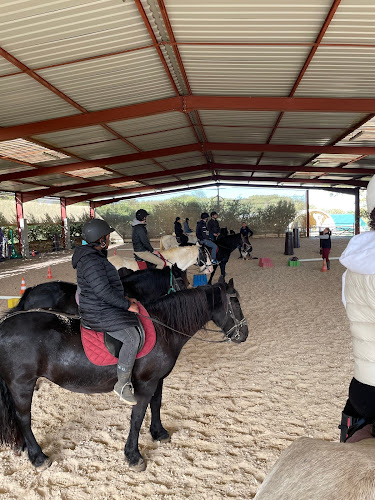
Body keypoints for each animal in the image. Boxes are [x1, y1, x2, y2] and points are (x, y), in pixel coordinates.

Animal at [0, 280, 248, 470]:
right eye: (235, 301)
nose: (244, 334)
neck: (163, 328)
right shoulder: (145, 384)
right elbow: (137, 417)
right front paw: (133, 456)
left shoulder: (157, 380)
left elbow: (156, 405)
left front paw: (159, 433)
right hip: (22, 385)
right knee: (24, 418)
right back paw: (38, 457)